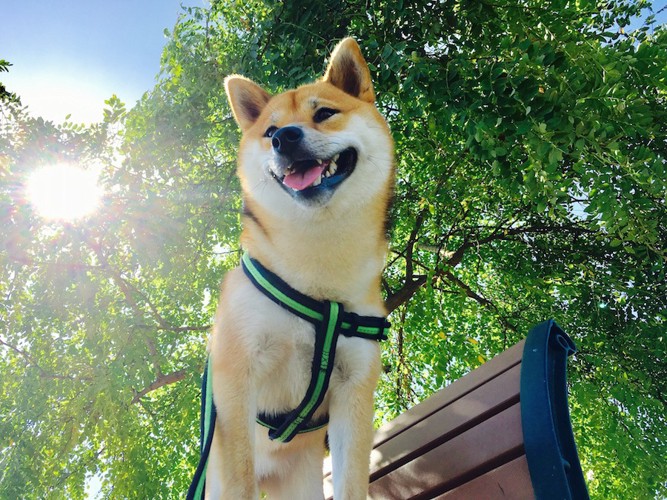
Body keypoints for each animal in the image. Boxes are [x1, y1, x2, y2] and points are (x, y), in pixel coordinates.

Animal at [209, 40, 394, 500]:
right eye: (269, 131)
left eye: (324, 113)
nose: (285, 137)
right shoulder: (236, 377)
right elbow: (239, 477)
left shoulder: (353, 387)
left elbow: (351, 483)